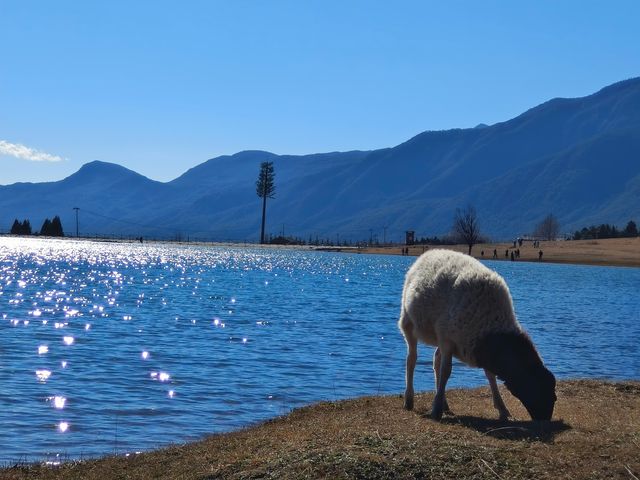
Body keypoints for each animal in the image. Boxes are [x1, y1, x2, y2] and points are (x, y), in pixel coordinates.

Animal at [400, 249, 556, 422]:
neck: (492, 329)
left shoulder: (474, 346)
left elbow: (490, 375)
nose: (545, 419)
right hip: (408, 321)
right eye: (540, 390)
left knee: (436, 360)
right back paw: (409, 399)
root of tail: (430, 252)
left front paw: (502, 409)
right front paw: (436, 410)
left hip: (440, 334)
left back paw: (444, 403)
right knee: (411, 359)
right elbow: (446, 371)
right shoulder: (449, 341)